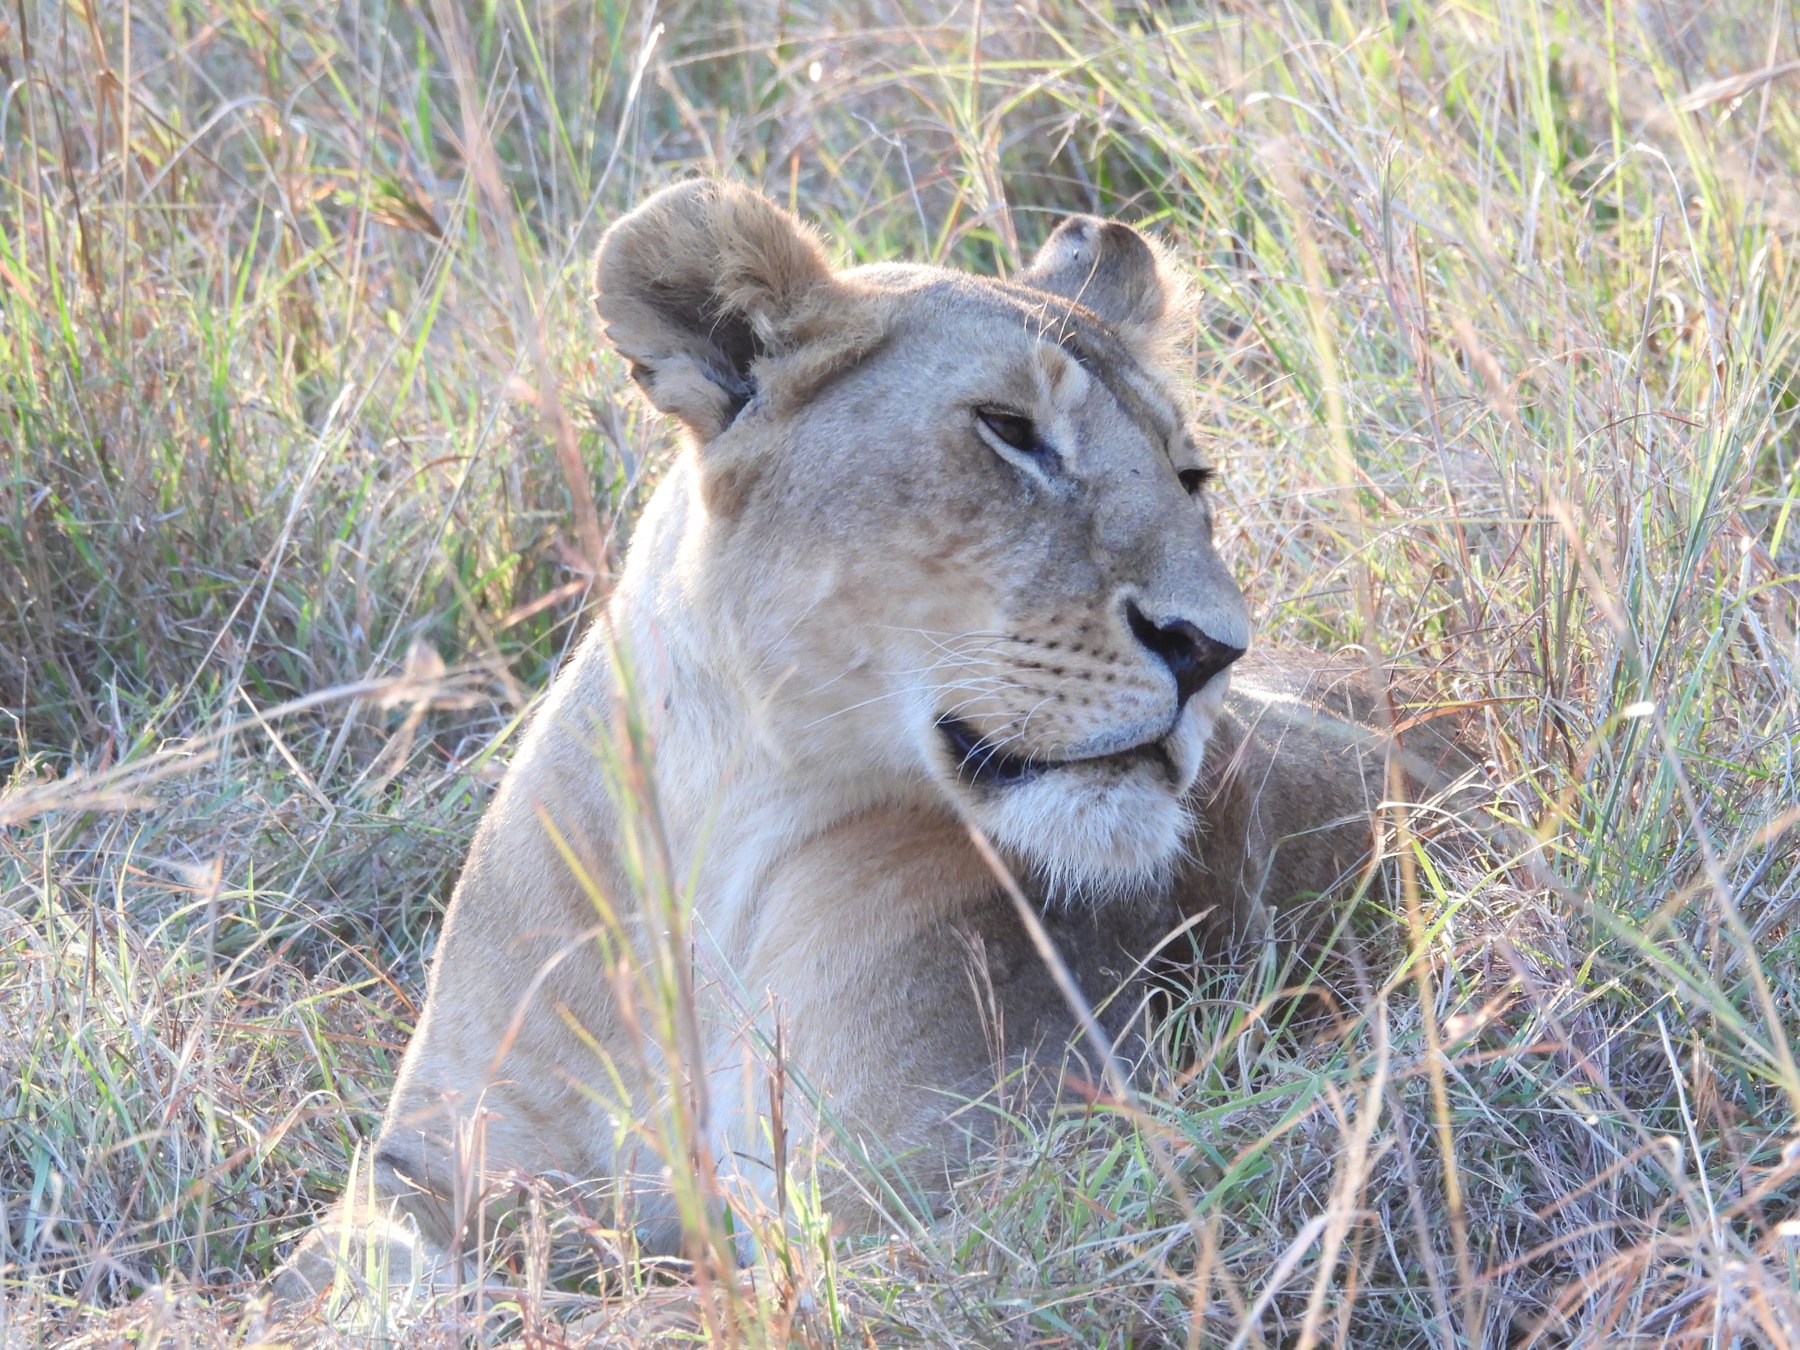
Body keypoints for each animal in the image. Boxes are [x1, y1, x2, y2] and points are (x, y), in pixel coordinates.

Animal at [273, 181, 1485, 1304]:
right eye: (1010, 432)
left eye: (1191, 478)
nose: (1213, 648)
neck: (714, 836)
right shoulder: (432, 1161)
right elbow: (355, 1277)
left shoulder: (936, 1217)